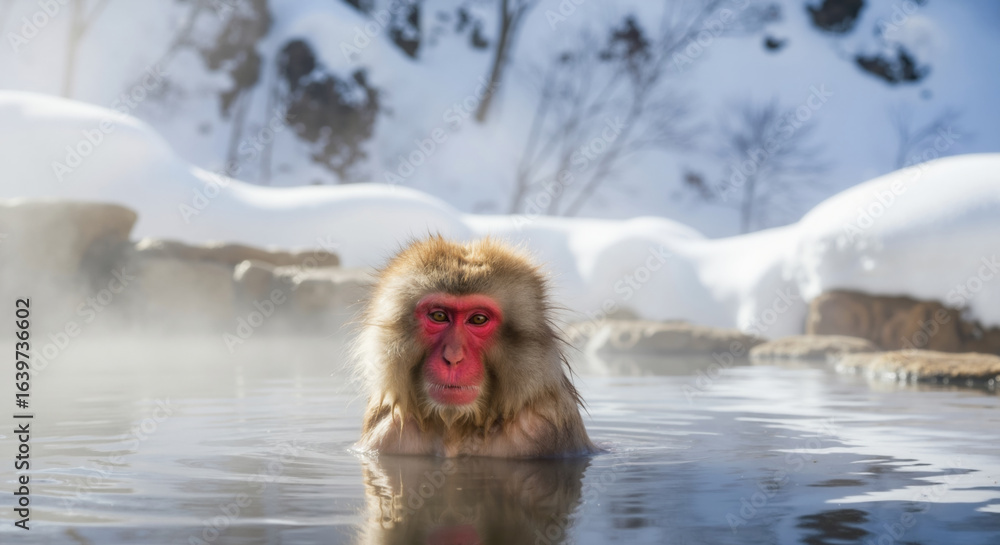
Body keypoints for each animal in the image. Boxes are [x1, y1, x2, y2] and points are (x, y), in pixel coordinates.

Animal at [353, 236, 597, 458]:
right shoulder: (386, 434)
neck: (456, 426)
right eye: (439, 316)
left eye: (478, 319)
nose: (453, 357)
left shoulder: (539, 430)